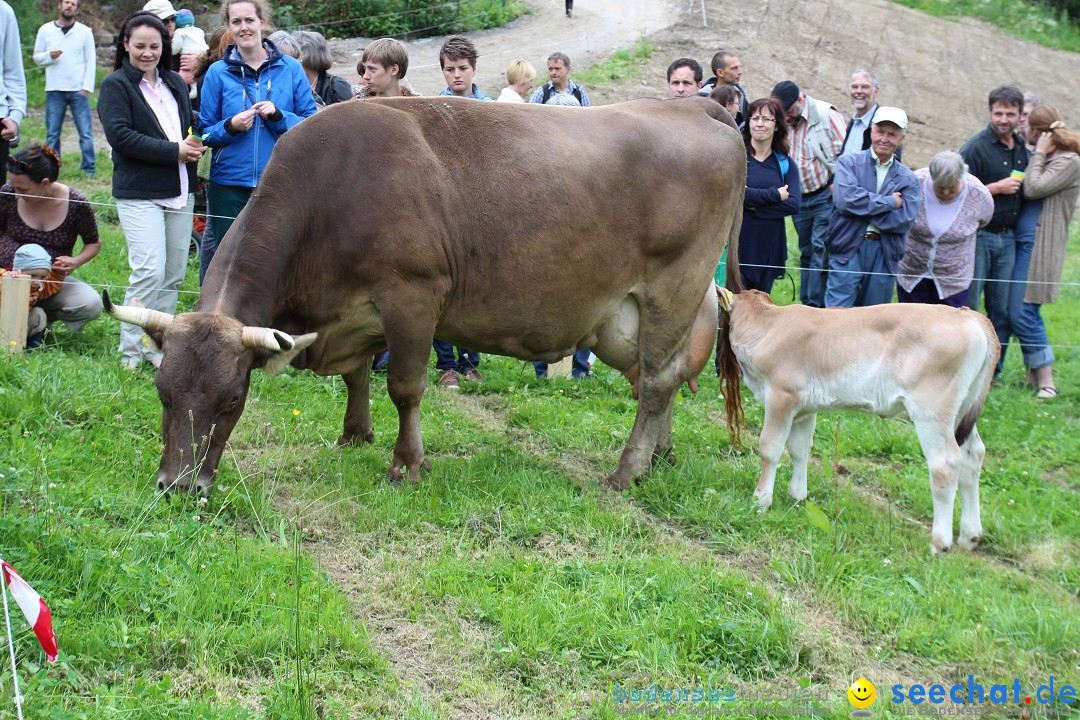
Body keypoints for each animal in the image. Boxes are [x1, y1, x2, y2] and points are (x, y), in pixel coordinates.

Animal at [105, 95, 747, 498]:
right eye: (162, 393)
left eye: (232, 400)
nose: (178, 486)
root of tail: (692, 105)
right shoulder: (353, 313)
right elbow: (357, 375)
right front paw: (354, 434)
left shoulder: (412, 295)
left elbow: (404, 386)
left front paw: (405, 464)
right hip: (641, 313)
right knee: (661, 378)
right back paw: (659, 456)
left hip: (672, 286)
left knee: (658, 380)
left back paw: (626, 472)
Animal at [721, 289, 997, 557]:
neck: (769, 326)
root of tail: (970, 316)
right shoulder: (805, 407)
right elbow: (800, 449)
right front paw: (798, 495)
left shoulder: (782, 396)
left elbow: (770, 448)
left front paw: (761, 500)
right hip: (962, 411)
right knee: (973, 456)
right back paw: (970, 535)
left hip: (932, 409)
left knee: (945, 465)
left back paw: (940, 543)